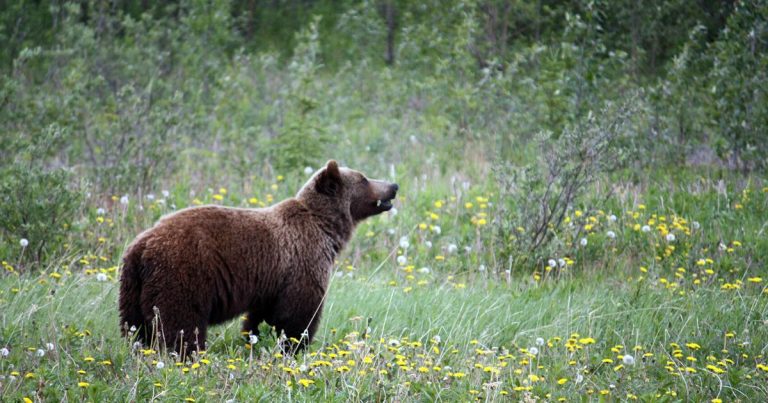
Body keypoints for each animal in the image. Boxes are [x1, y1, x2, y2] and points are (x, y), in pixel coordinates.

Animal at [118, 160, 398, 356]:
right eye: (364, 178)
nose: (393, 186)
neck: (326, 228)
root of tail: (142, 245)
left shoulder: (272, 280)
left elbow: (262, 316)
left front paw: (254, 340)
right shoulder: (303, 261)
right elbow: (298, 314)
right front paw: (294, 347)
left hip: (132, 286)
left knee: (135, 328)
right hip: (182, 273)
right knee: (181, 323)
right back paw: (187, 355)